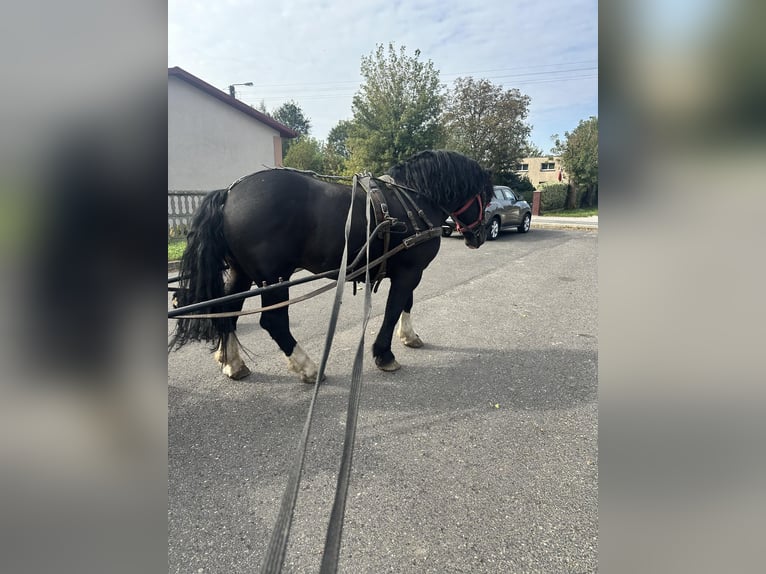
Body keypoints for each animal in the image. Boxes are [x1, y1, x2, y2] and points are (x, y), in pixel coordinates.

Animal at [170, 150, 492, 382]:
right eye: (486, 195)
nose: (480, 236)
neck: (412, 199)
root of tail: (228, 194)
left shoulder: (408, 269)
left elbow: (406, 304)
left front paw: (409, 336)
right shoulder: (409, 271)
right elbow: (393, 309)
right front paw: (384, 354)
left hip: (242, 274)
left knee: (228, 311)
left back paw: (232, 363)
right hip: (275, 278)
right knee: (273, 321)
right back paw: (308, 368)